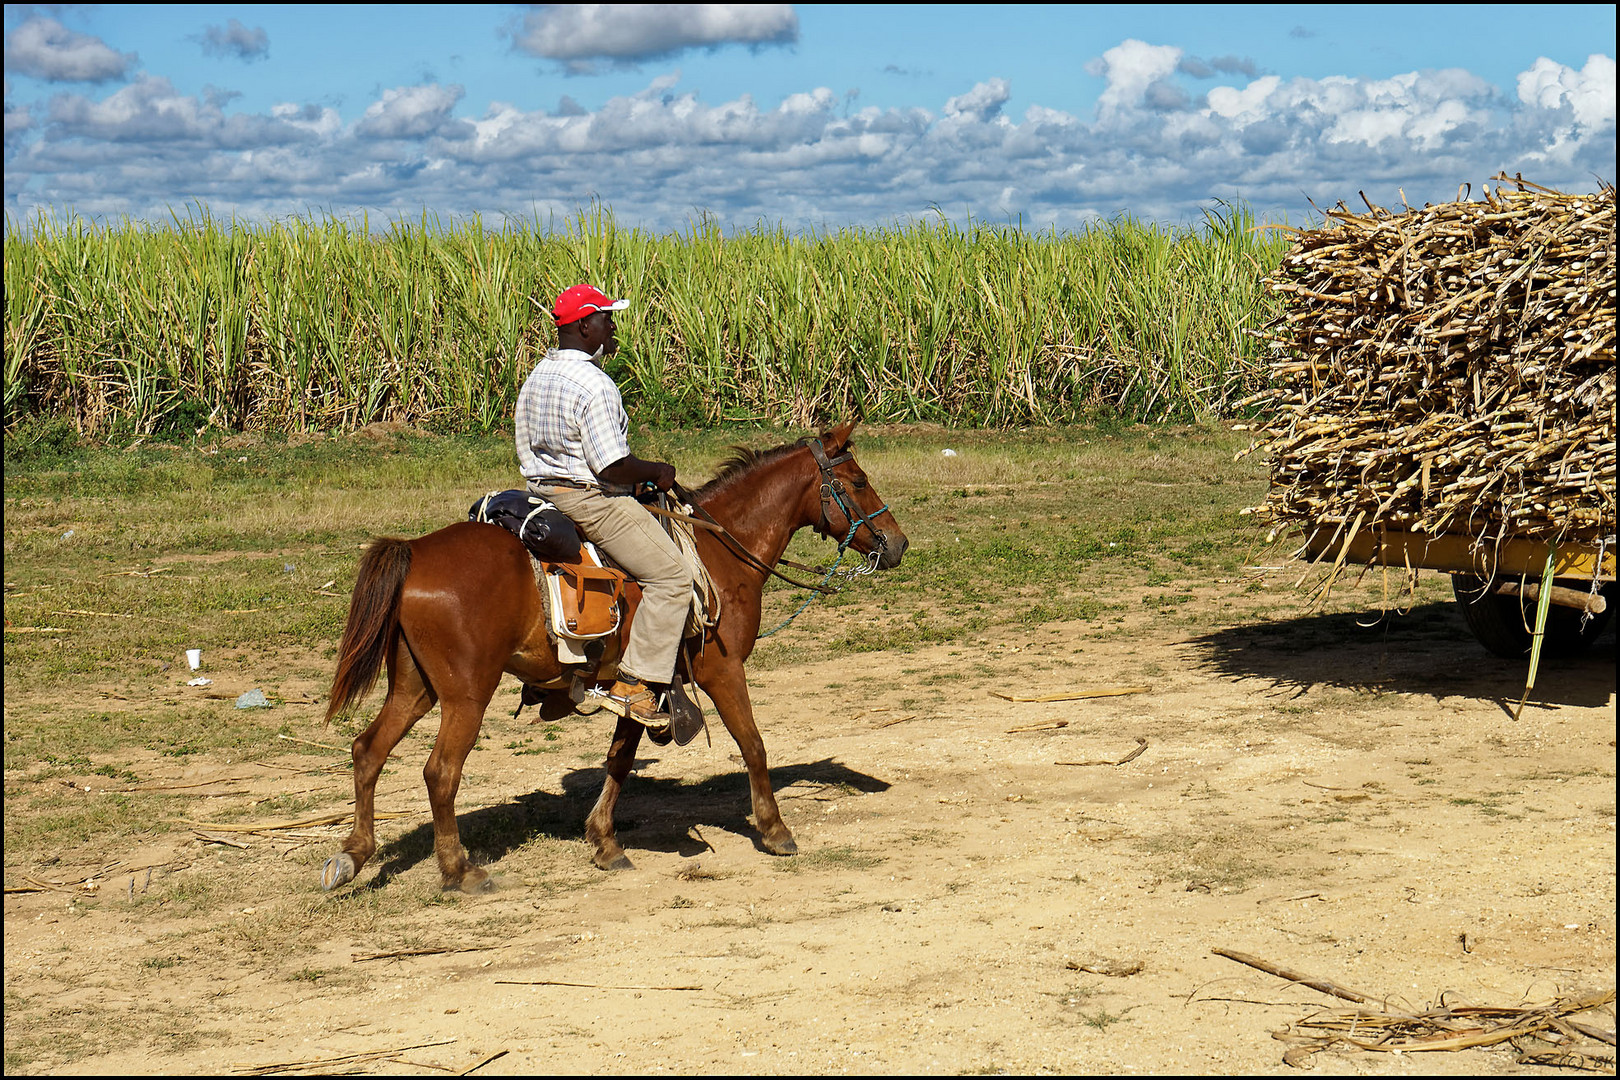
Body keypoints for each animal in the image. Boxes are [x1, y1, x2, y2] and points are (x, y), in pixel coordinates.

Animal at [315, 420, 900, 893]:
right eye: (856, 482)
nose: (897, 545)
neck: (720, 552)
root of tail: (414, 551)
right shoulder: (721, 670)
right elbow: (753, 745)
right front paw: (776, 830)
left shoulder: (639, 682)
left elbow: (620, 759)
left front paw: (604, 842)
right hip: (466, 694)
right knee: (440, 772)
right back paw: (460, 870)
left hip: (415, 687)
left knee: (367, 750)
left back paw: (353, 856)